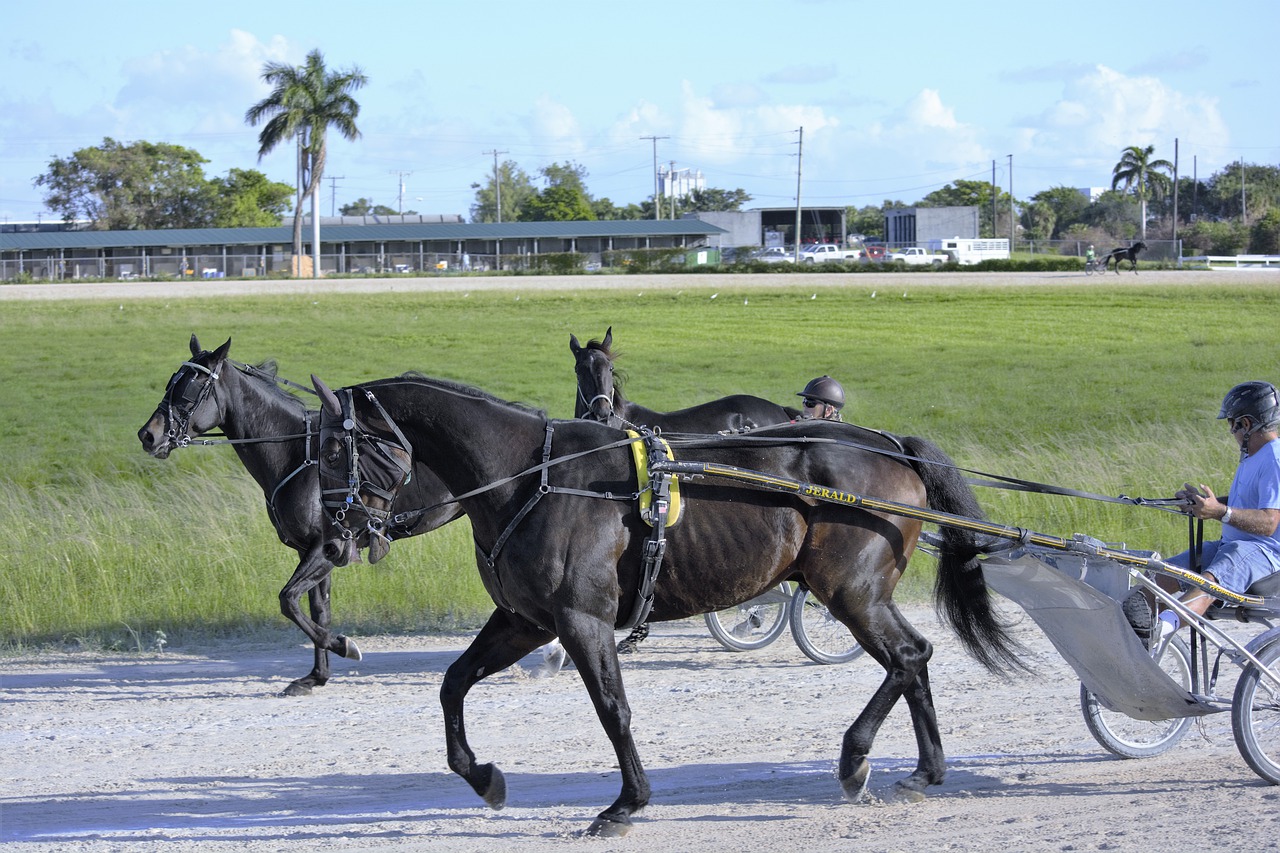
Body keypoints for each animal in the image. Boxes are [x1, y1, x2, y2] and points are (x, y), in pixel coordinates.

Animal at [137, 336, 462, 696]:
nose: (148, 435)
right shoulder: (310, 548)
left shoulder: (326, 545)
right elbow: (318, 610)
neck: (297, 455)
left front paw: (343, 645)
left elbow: (288, 600)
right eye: (171, 383)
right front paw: (316, 675)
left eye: (189, 390)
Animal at [308, 372, 1023, 837]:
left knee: (905, 656)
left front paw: (627, 803)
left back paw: (854, 760)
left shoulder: (580, 619)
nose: (332, 535)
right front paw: (483, 777)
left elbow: (612, 708)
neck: (531, 478)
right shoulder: (524, 621)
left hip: (849, 590)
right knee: (916, 656)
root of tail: (891, 445)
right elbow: (453, 683)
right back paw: (923, 771)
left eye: (336, 448)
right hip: (861, 591)